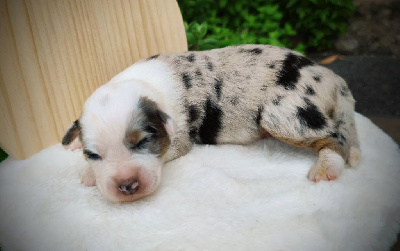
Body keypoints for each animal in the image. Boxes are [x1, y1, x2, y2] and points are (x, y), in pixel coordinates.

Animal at [61, 44, 360, 203]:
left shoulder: (180, 138)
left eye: (144, 141)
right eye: (93, 155)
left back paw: (327, 167)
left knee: (335, 136)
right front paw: (77, 151)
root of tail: (332, 78)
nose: (127, 186)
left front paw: (88, 176)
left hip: (286, 113)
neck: (145, 85)